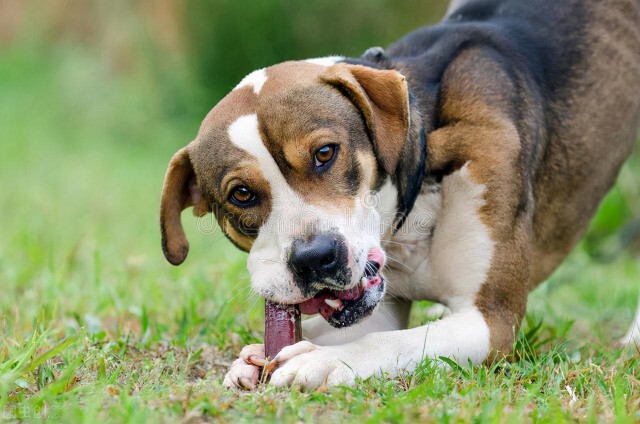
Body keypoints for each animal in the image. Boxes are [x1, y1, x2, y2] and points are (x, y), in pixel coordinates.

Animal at [159, 0, 640, 390]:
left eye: (325, 153)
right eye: (241, 194)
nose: (315, 259)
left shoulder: (490, 320)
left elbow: (389, 342)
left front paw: (323, 361)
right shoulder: (382, 303)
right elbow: (371, 328)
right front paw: (255, 357)